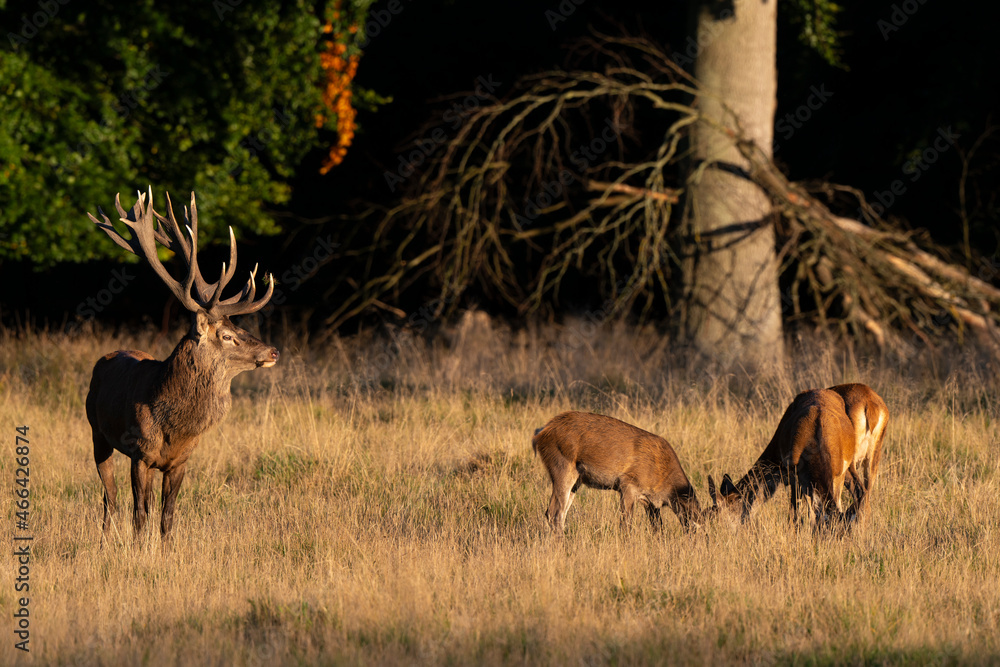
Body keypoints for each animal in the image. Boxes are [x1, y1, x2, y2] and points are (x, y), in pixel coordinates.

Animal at [84, 188, 279, 543]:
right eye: (228, 336)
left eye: (239, 327)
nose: (273, 351)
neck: (175, 428)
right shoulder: (140, 454)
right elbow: (140, 515)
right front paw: (138, 550)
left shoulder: (181, 461)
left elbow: (168, 516)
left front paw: (166, 550)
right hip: (97, 432)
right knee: (110, 497)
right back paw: (104, 542)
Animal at [532, 411, 702, 532]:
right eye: (695, 525)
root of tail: (540, 433)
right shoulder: (627, 484)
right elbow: (626, 525)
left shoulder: (650, 503)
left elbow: (658, 528)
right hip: (562, 468)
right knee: (554, 512)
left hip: (576, 481)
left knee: (558, 513)